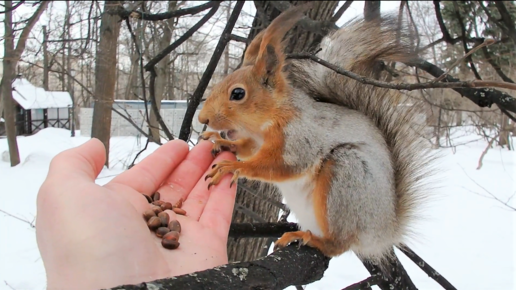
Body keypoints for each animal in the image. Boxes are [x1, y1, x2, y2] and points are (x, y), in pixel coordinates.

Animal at [198, 2, 436, 270]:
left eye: (238, 94)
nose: (203, 119)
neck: (265, 125)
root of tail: (384, 231)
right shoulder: (255, 141)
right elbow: (246, 148)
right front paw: (223, 142)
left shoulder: (301, 139)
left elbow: (279, 166)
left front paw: (233, 167)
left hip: (346, 177)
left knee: (339, 244)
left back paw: (311, 239)